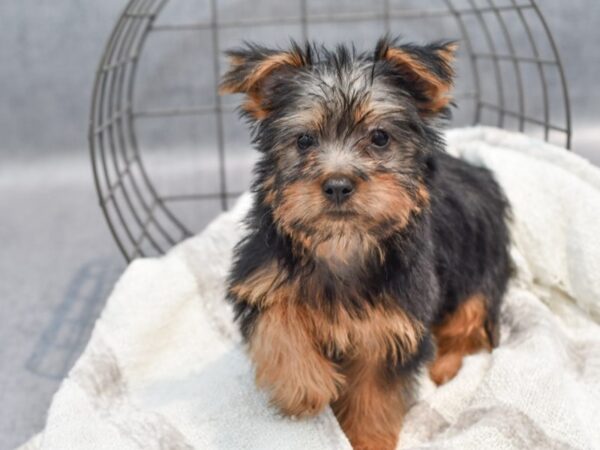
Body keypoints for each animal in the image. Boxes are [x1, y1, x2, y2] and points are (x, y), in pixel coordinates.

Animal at [220, 37, 510, 450]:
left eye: (380, 138)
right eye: (304, 140)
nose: (338, 185)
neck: (343, 242)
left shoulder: (392, 324)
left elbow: (375, 395)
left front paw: (366, 439)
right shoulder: (261, 277)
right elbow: (278, 324)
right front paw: (305, 389)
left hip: (481, 268)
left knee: (468, 328)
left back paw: (444, 369)